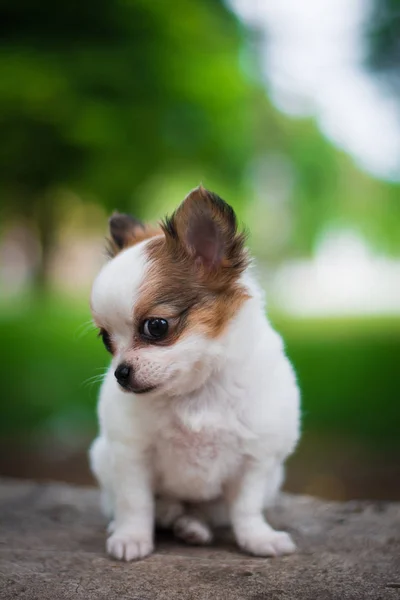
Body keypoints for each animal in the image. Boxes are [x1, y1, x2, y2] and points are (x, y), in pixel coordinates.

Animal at [88, 186, 300, 564]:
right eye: (105, 339)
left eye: (156, 326)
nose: (120, 373)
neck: (196, 392)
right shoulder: (131, 453)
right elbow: (134, 502)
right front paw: (131, 537)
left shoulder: (256, 459)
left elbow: (245, 507)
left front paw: (257, 538)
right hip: (102, 458)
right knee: (149, 505)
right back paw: (168, 516)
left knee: (203, 512)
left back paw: (193, 527)